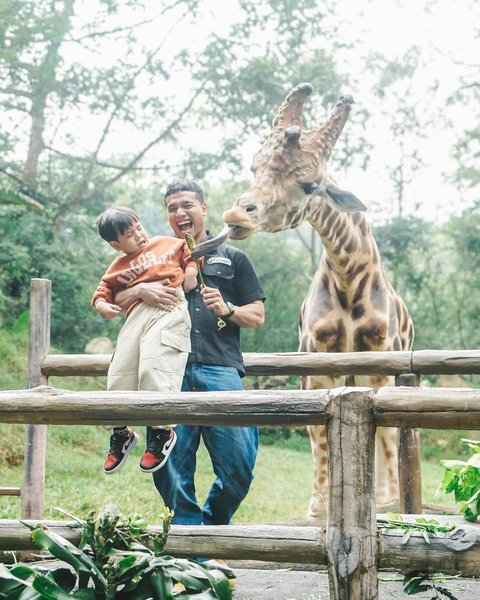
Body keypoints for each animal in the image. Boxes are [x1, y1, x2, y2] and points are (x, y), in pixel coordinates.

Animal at [221, 84, 412, 520]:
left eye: (309, 184)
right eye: (254, 167)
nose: (238, 214)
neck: (348, 279)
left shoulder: (380, 361)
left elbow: (386, 429)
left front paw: (387, 501)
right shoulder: (316, 361)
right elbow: (316, 427)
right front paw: (317, 509)